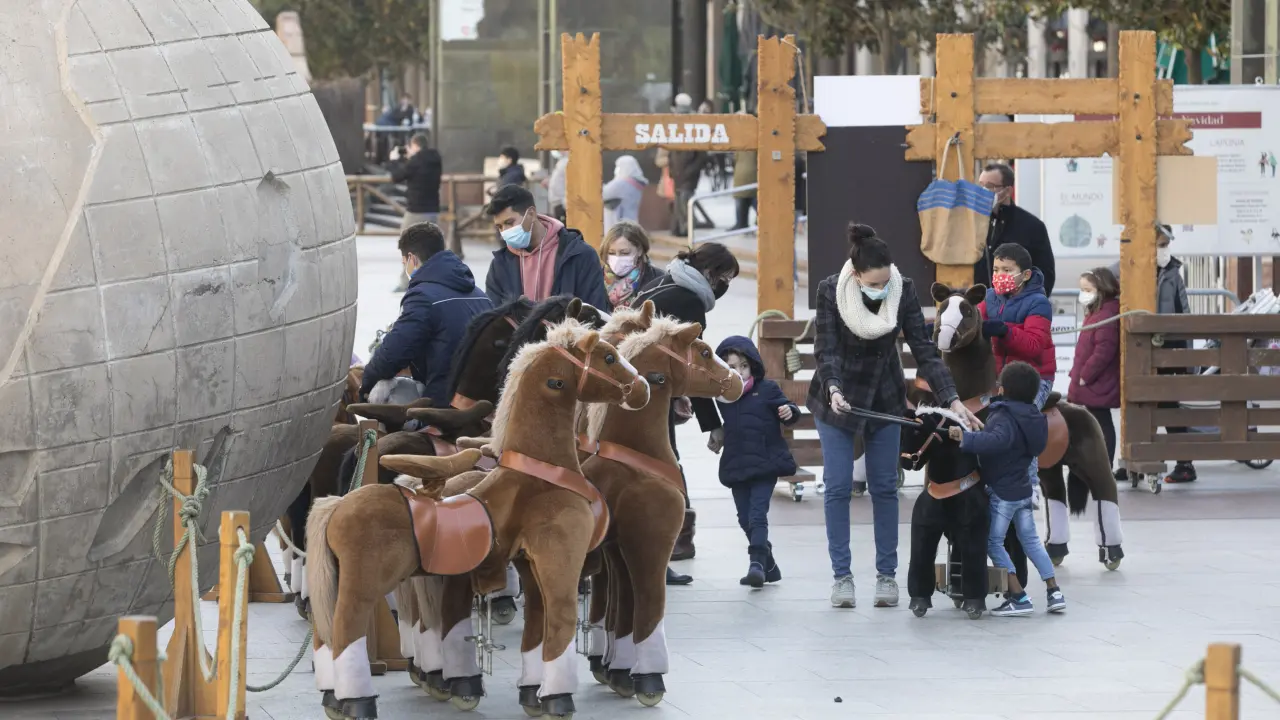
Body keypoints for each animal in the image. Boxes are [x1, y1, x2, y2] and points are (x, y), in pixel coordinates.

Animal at [306, 320, 648, 720]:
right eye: (609, 357)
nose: (641, 387)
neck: (539, 477)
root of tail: (336, 507)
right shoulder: (560, 560)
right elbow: (561, 626)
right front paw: (558, 699)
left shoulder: (531, 566)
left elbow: (537, 629)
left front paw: (532, 695)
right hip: (366, 583)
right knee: (345, 633)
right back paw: (357, 702)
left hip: (341, 578)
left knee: (324, 634)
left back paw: (334, 697)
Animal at [579, 315, 743, 707]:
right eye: (704, 351)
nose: (737, 381)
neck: (636, 462)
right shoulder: (650, 545)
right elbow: (650, 608)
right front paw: (650, 679)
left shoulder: (616, 551)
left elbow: (621, 611)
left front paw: (617, 671)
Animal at [926, 283, 1125, 570]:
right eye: (942, 309)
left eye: (967, 311)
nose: (944, 336)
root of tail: (1081, 410)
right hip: (1050, 468)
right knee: (1056, 496)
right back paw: (1055, 550)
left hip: (1092, 463)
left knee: (1105, 493)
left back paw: (1112, 553)